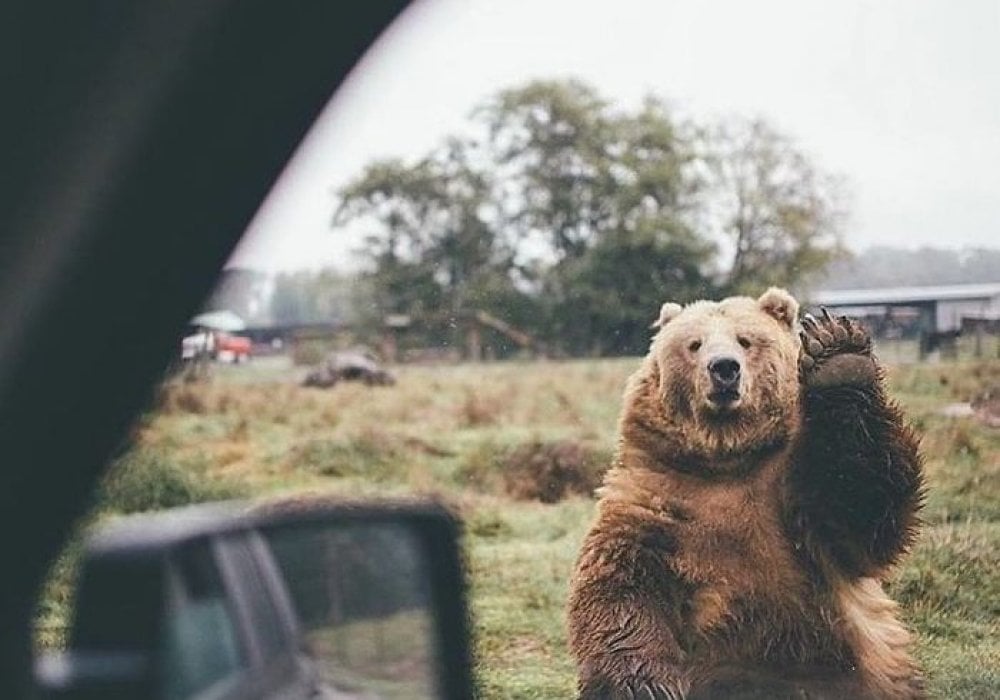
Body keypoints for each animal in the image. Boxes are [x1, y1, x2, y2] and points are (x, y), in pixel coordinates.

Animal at [568, 288, 924, 696]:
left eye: (745, 340)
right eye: (694, 343)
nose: (724, 368)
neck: (727, 458)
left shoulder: (794, 497)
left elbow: (859, 511)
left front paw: (839, 357)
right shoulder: (658, 496)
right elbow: (623, 583)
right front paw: (643, 685)